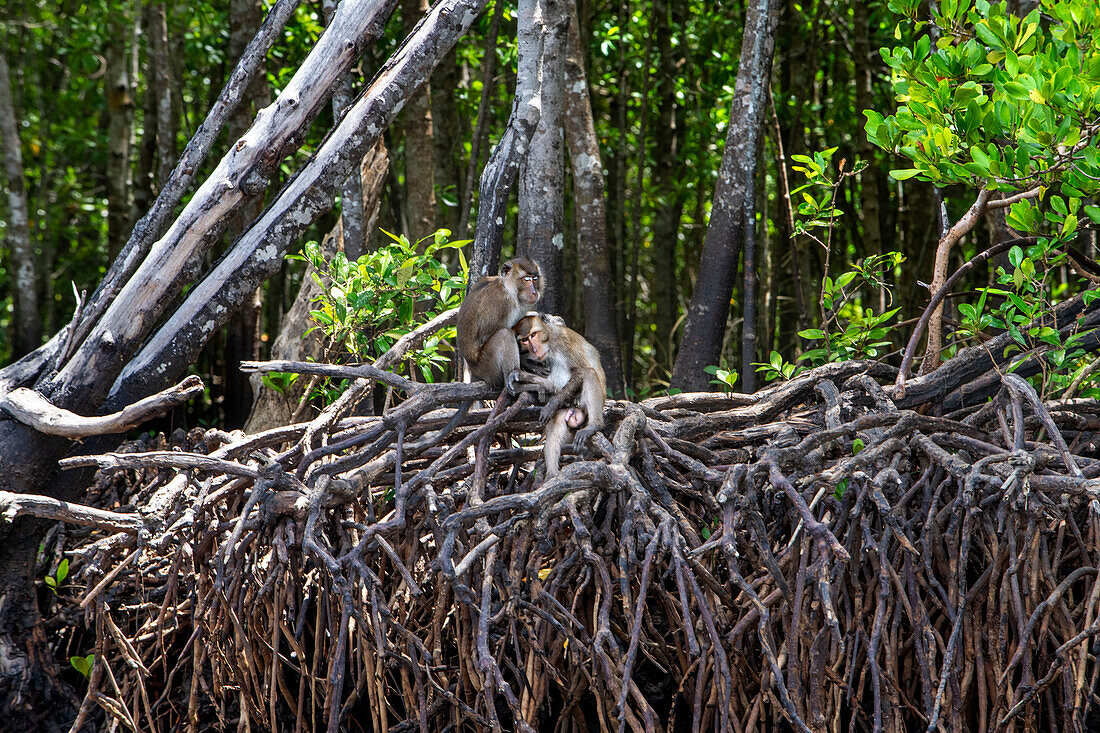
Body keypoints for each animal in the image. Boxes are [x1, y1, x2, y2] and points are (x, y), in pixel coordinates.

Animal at [510, 312, 607, 473]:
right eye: (524, 340)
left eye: (533, 335)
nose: (534, 349)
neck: (549, 342)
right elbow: (550, 383)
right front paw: (520, 372)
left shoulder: (564, 342)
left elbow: (580, 371)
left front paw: (552, 403)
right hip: (567, 409)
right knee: (556, 423)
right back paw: (552, 475)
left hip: (585, 404)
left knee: (589, 373)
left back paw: (594, 425)